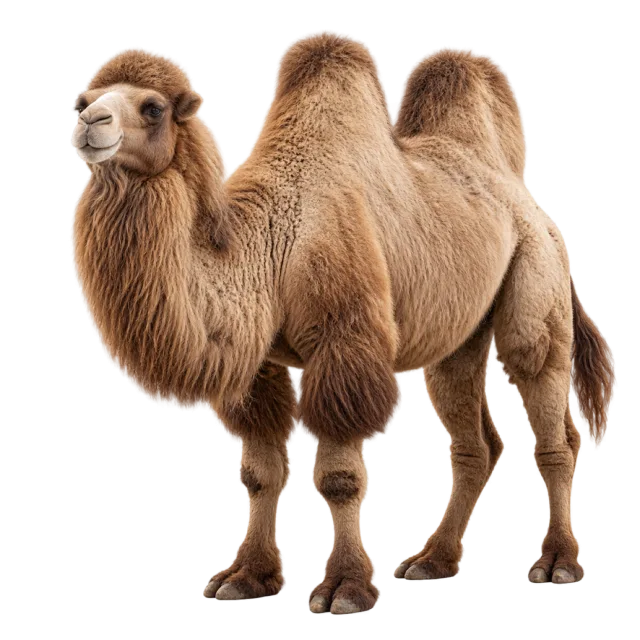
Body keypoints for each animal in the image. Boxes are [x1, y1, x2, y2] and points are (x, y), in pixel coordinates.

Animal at [70, 35, 616, 613]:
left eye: (152, 108)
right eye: (85, 99)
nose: (89, 123)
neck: (271, 245)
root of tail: (530, 202)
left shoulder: (343, 342)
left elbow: (339, 478)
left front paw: (345, 589)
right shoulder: (261, 365)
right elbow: (258, 474)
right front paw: (244, 578)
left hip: (538, 281)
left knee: (549, 410)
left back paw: (556, 564)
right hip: (459, 331)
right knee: (474, 436)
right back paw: (431, 563)